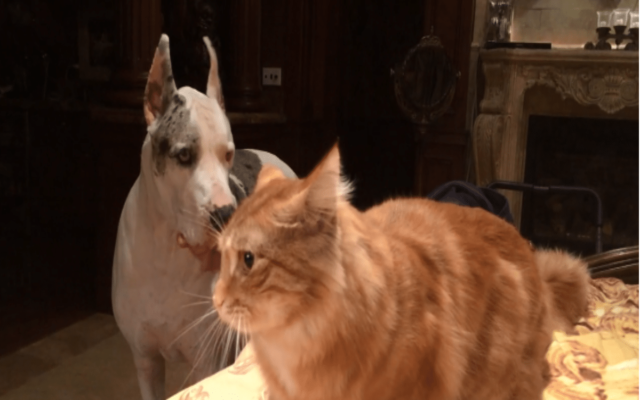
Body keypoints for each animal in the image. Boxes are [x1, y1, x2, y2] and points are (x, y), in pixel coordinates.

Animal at [111, 35, 296, 400]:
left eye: (227, 154)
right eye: (184, 155)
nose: (225, 214)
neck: (167, 253)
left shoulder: (206, 362)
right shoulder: (145, 359)